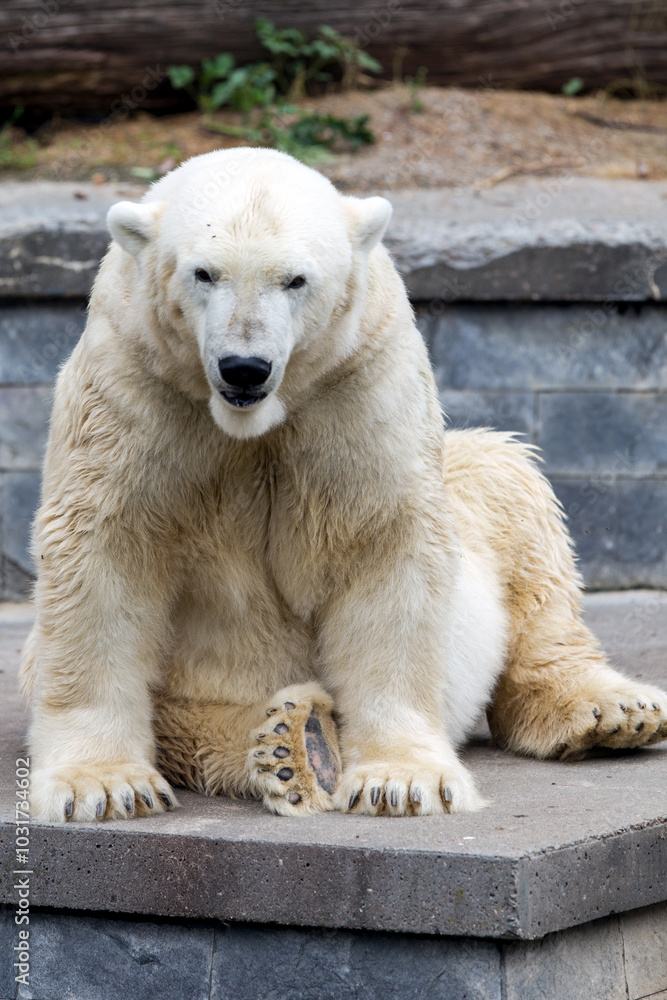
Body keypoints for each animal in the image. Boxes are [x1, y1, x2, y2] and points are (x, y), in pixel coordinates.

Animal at [21, 147, 667, 822]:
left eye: (296, 279)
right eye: (204, 273)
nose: (245, 367)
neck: (253, 418)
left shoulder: (358, 381)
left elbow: (385, 541)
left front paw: (400, 781)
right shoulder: (136, 381)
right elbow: (102, 544)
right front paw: (104, 786)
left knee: (510, 495)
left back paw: (612, 711)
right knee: (197, 725)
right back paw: (293, 745)